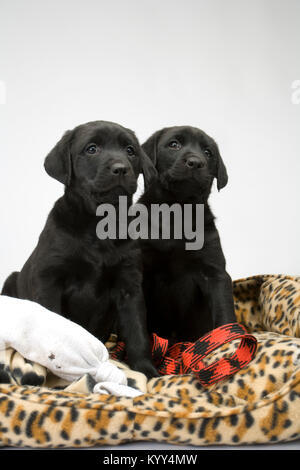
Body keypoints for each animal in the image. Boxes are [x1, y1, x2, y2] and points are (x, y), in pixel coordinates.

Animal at [1, 120, 158, 378]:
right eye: (92, 149)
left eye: (130, 150)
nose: (121, 168)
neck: (98, 226)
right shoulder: (49, 280)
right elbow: (55, 326)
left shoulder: (129, 286)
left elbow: (137, 331)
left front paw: (147, 370)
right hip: (11, 279)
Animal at [139, 126, 237, 344]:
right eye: (174, 144)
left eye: (208, 153)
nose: (196, 162)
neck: (176, 213)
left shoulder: (214, 273)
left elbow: (225, 312)